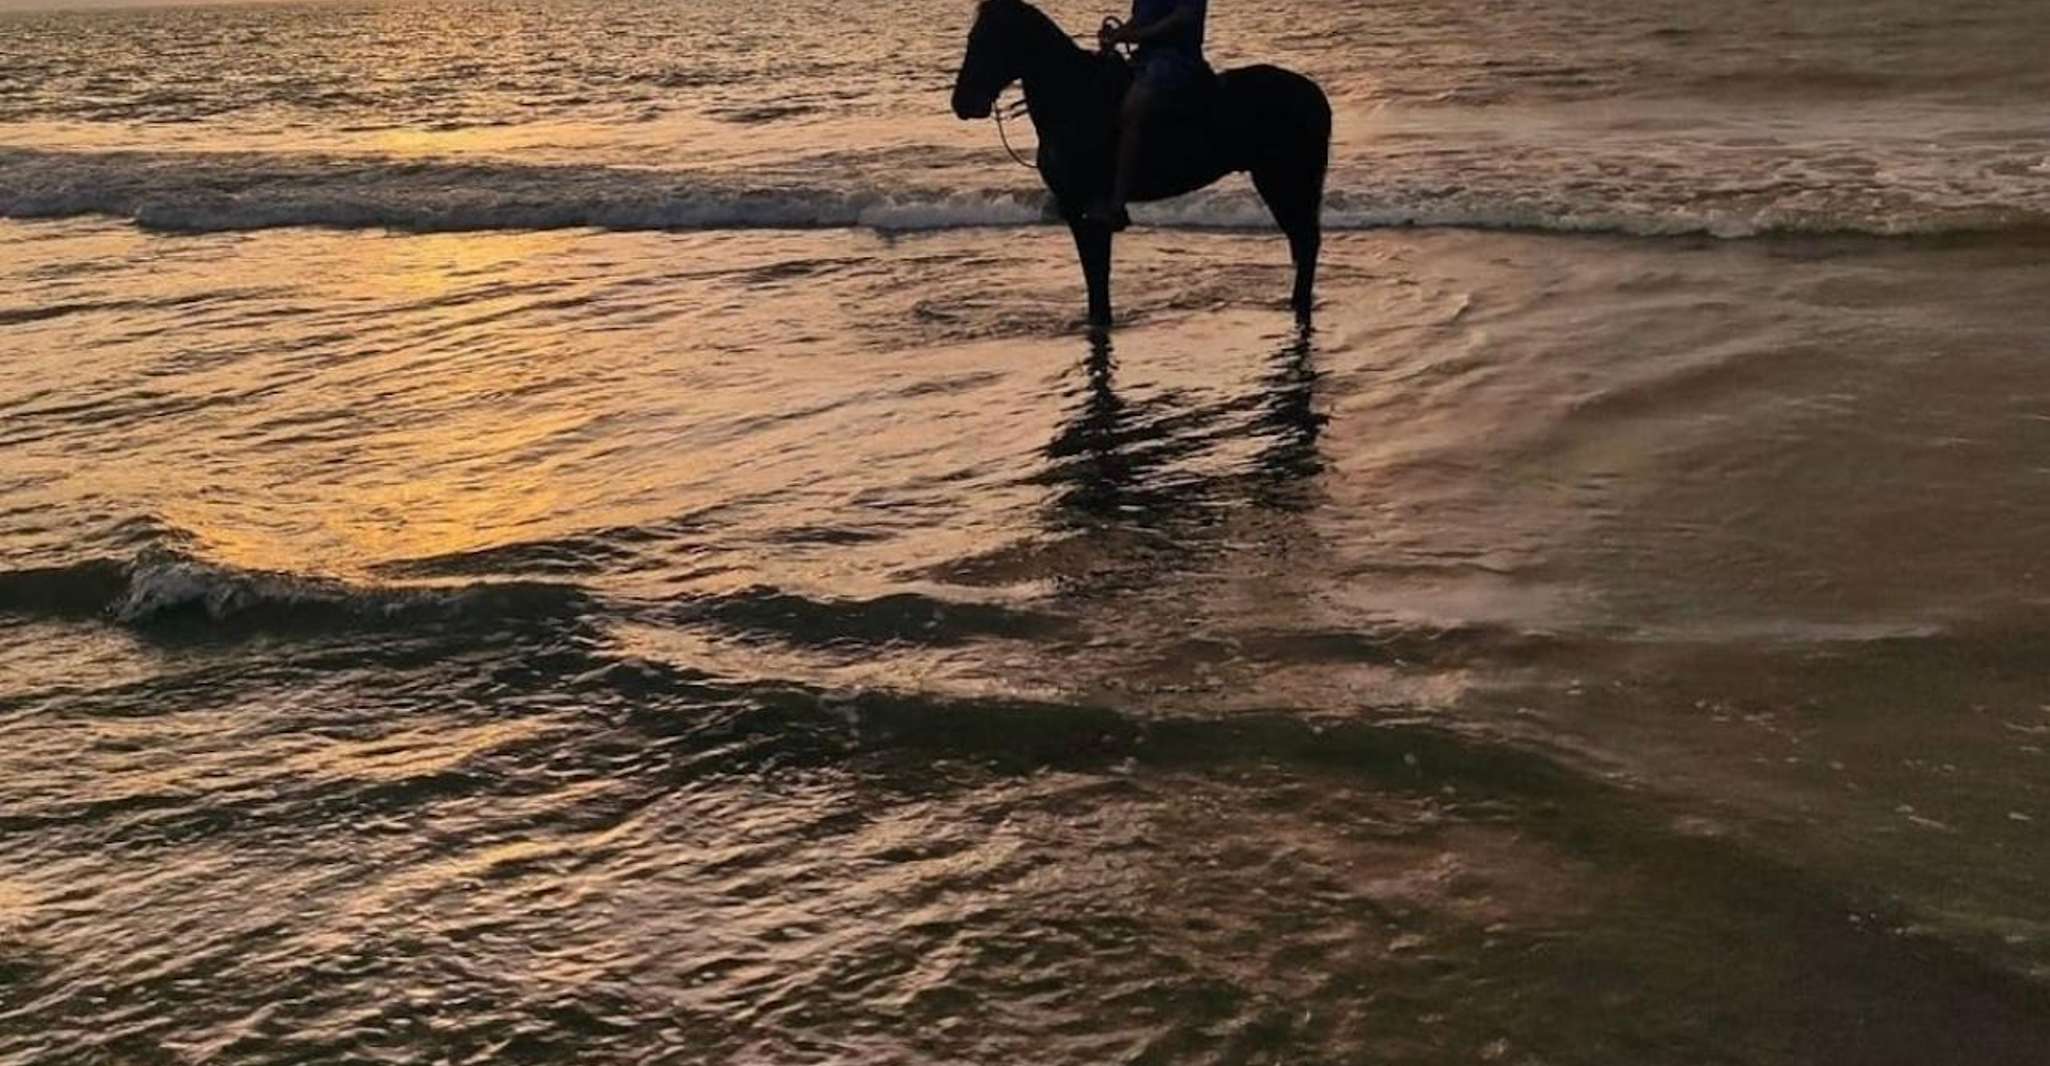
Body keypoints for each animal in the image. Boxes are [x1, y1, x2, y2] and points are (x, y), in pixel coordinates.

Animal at [951, 0, 1332, 328]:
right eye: (971, 38)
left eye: (989, 40)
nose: (961, 102)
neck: (1075, 99)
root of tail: (1315, 94)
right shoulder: (1073, 209)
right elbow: (1092, 277)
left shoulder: (1094, 209)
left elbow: (1099, 276)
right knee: (1303, 242)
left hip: (1284, 181)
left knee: (1307, 241)